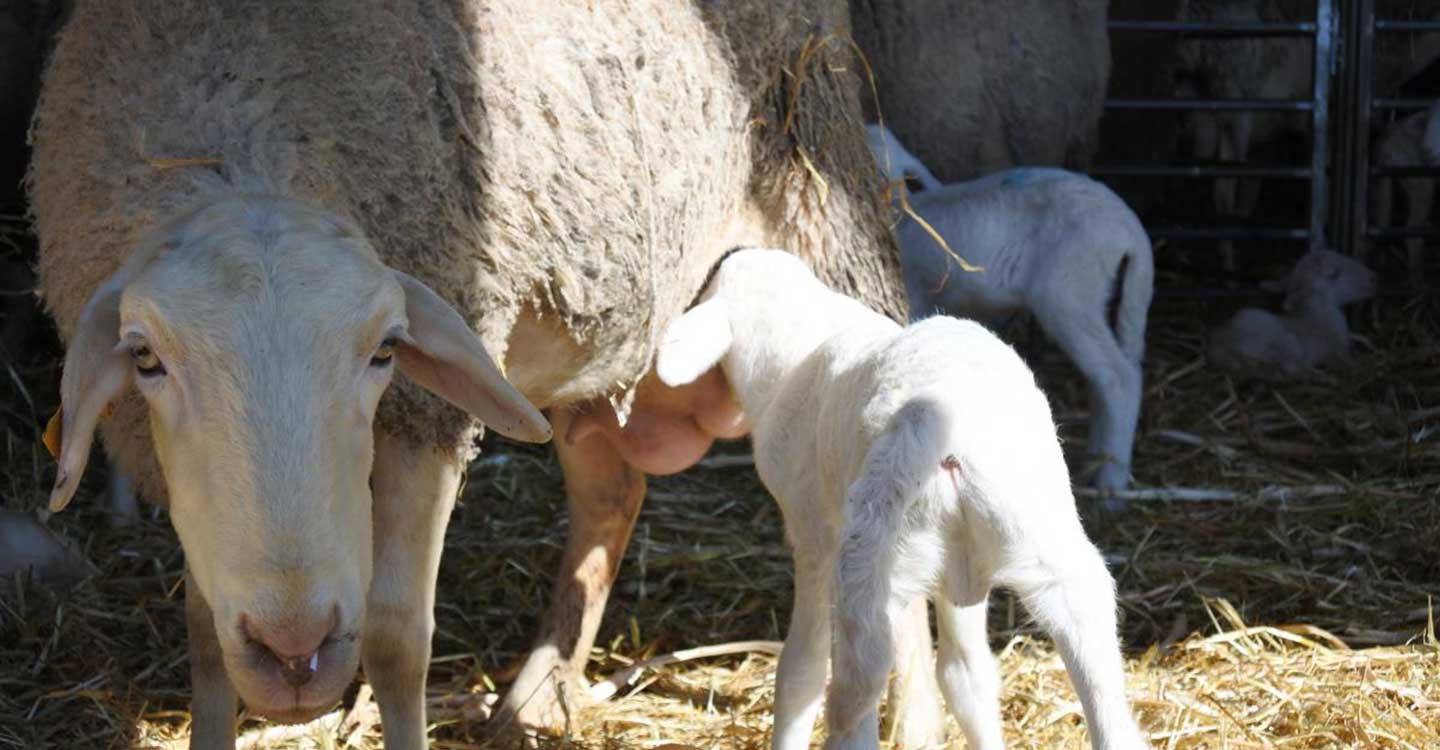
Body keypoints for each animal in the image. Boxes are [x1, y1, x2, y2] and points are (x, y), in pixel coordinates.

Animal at [656, 247, 1146, 748]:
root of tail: (933, 419)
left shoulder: (811, 536)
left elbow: (799, 674)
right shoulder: (958, 576)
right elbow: (967, 675)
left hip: (869, 566)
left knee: (851, 697)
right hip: (1041, 534)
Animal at [864, 131, 1157, 500]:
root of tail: (1130, 231)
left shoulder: (916, 295)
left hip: (1070, 294)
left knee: (1119, 376)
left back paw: (1111, 479)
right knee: (1106, 375)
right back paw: (1099, 454)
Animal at [1209, 250, 1376, 380]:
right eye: (1334, 274)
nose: (1373, 278)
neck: (1319, 319)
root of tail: (1218, 348)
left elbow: (1357, 337)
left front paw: (1366, 342)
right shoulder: (1337, 351)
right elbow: (1348, 363)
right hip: (1282, 341)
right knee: (1292, 369)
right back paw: (1322, 378)